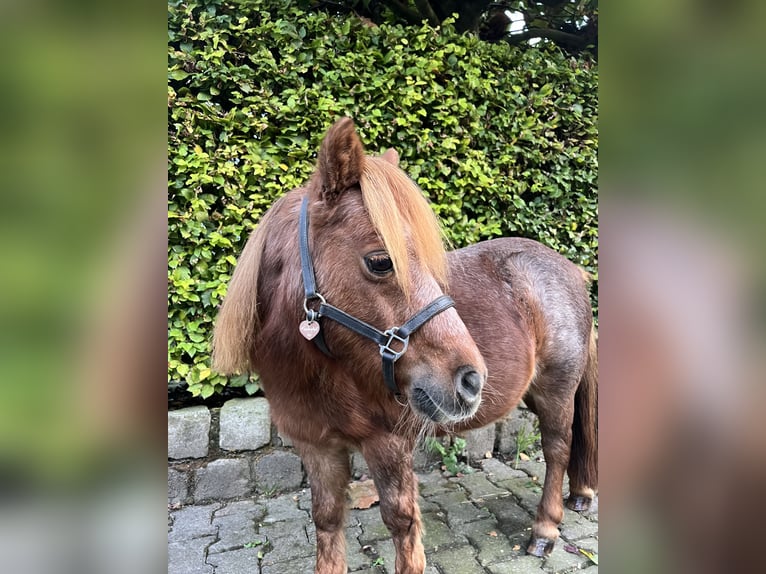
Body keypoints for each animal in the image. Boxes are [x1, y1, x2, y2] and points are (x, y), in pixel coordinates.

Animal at [212, 118, 600, 574]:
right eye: (382, 261)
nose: (472, 380)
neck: (321, 371)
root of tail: (571, 269)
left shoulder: (388, 444)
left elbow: (402, 523)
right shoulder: (317, 448)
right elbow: (327, 520)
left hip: (557, 391)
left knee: (557, 448)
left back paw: (545, 530)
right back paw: (579, 496)